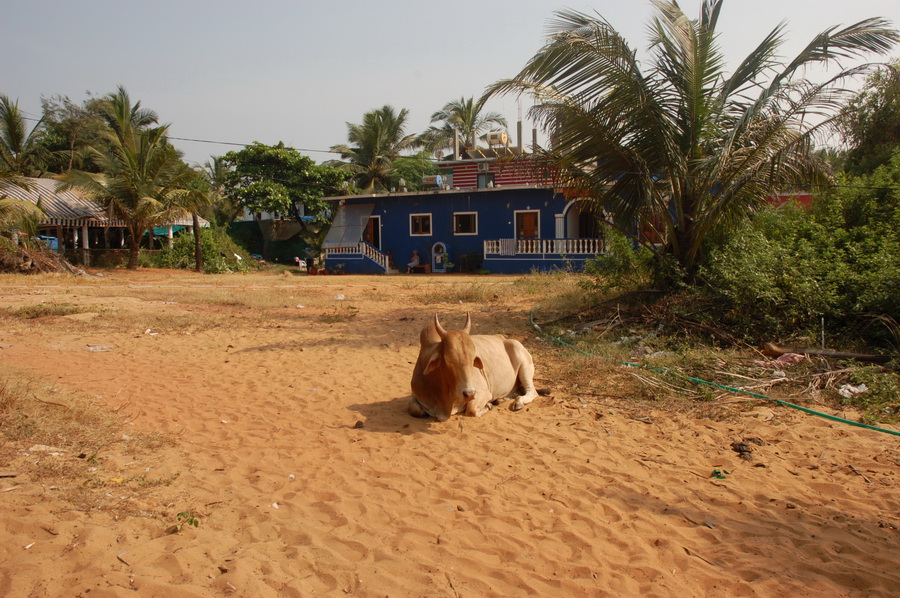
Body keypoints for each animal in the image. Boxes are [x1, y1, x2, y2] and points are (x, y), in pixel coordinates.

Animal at [410, 314, 540, 422]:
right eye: (448, 359)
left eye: (473, 359)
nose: (469, 394)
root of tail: (503, 338)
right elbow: (414, 409)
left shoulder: (483, 392)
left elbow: (471, 410)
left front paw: (488, 405)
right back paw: (501, 400)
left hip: (524, 364)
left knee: (532, 391)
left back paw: (518, 402)